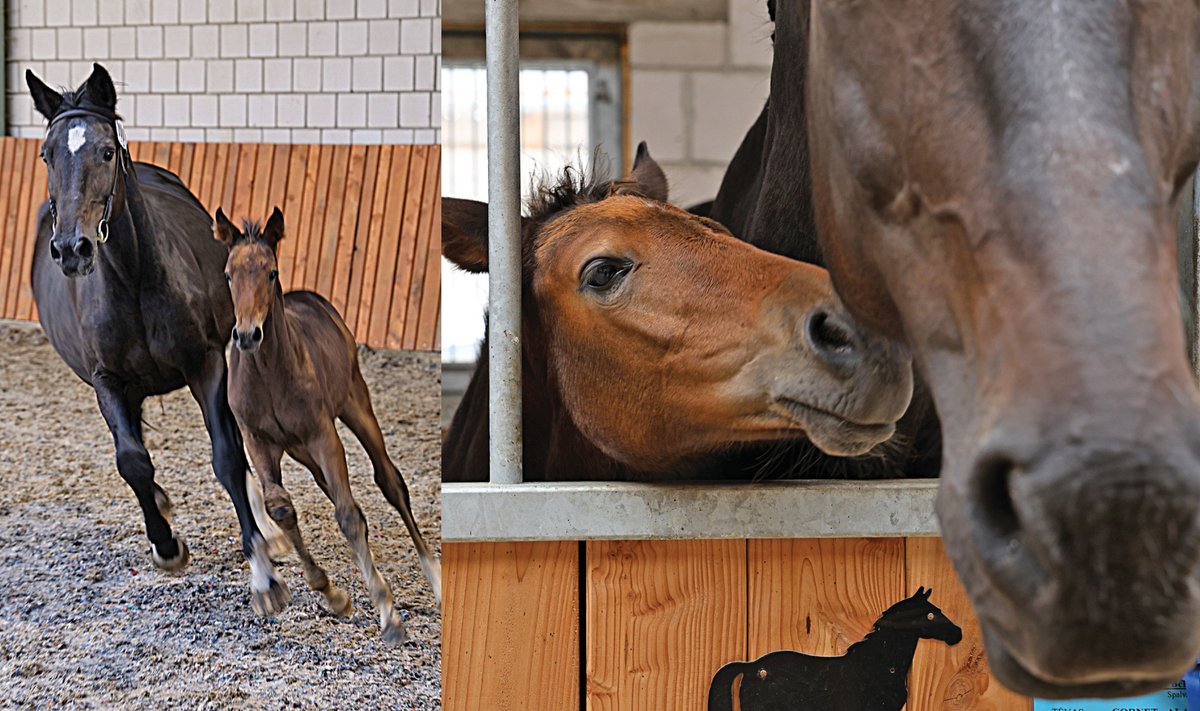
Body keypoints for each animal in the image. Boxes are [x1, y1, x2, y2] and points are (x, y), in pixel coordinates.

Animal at [24, 63, 286, 602]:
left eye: (106, 151)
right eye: (47, 155)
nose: (72, 249)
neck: (132, 279)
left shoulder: (206, 365)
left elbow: (227, 455)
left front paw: (263, 567)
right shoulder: (107, 381)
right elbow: (132, 461)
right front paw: (166, 544)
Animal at [216, 206, 441, 643]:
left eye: (271, 272)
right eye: (229, 274)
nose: (248, 334)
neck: (269, 373)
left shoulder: (323, 434)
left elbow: (349, 515)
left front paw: (388, 611)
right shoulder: (258, 441)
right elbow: (280, 508)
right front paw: (332, 594)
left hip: (355, 404)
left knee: (390, 482)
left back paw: (435, 579)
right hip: (303, 450)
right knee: (328, 488)